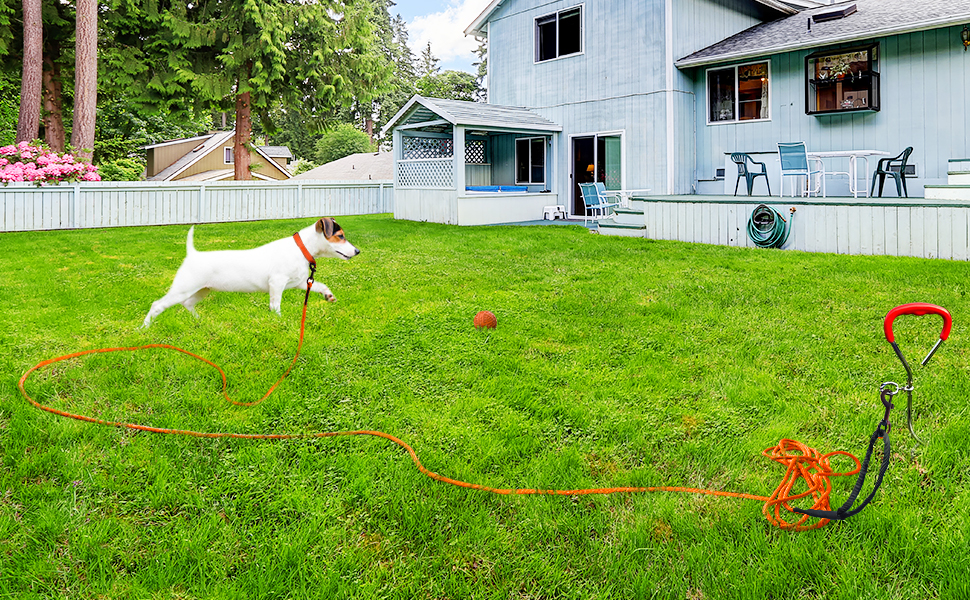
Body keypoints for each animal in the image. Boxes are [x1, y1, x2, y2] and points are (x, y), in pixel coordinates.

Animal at [142, 217, 358, 328]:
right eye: (340, 236)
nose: (357, 251)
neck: (301, 248)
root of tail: (192, 254)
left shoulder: (299, 282)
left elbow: (320, 285)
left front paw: (328, 295)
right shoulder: (277, 284)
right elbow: (275, 306)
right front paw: (278, 322)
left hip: (202, 290)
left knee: (188, 304)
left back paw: (201, 322)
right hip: (183, 288)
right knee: (157, 305)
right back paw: (143, 329)